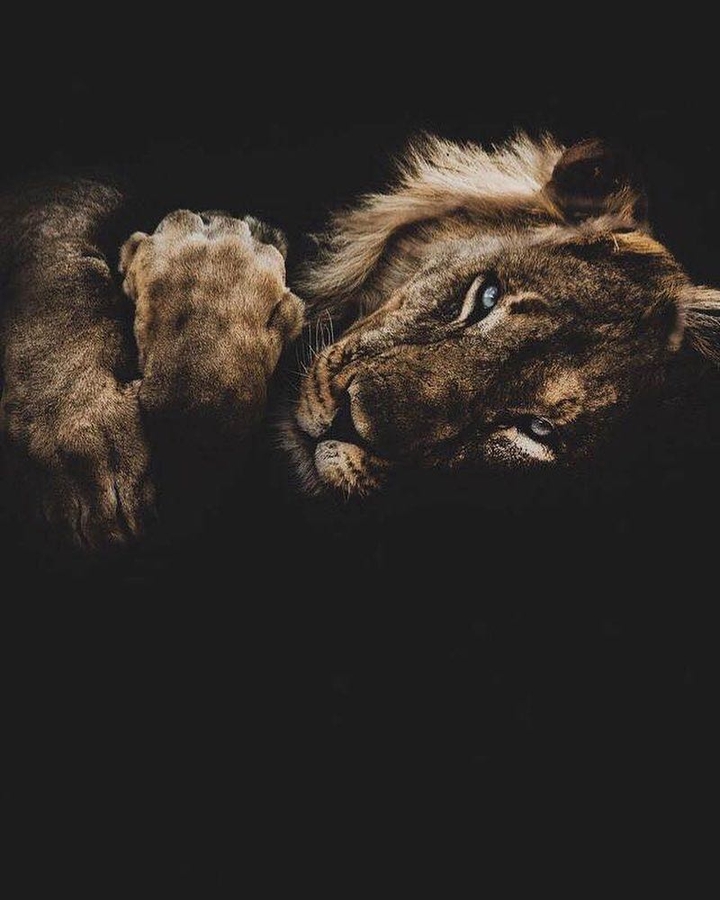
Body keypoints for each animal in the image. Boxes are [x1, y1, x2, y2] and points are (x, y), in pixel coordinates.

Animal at [0, 135, 718, 552]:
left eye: (535, 431)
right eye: (485, 297)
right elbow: (55, 254)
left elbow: (201, 407)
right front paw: (88, 450)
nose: (350, 423)